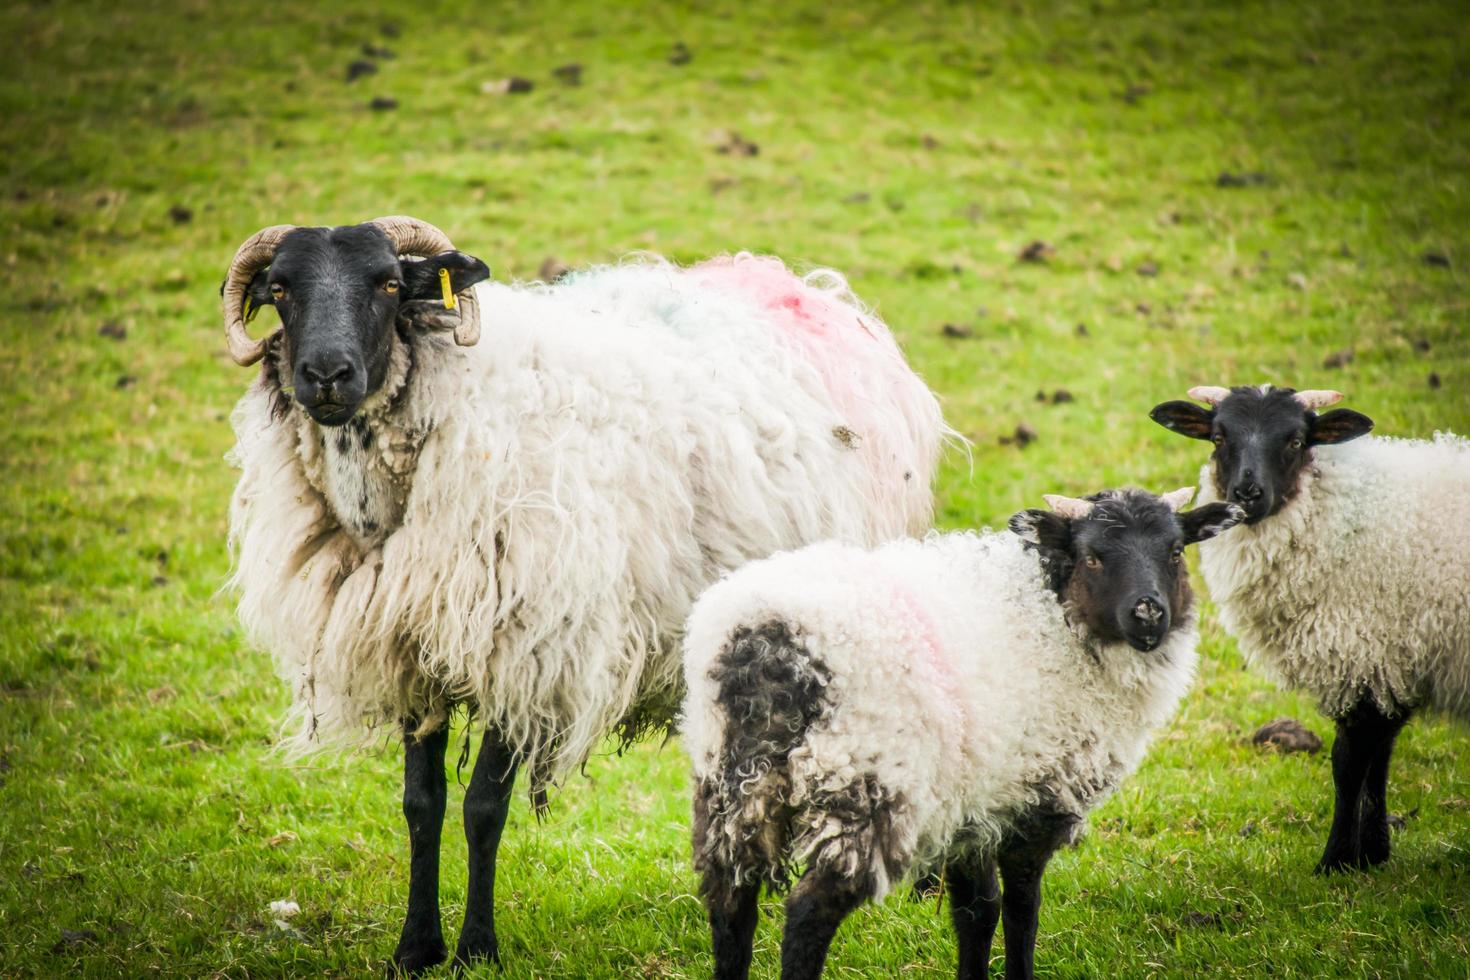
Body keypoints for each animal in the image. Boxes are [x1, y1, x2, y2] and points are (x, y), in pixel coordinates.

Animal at [219, 215, 952, 975]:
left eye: (389, 284)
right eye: (281, 289)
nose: (326, 375)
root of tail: (810, 291)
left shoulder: (525, 649)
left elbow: (483, 809)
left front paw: (476, 949)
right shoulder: (413, 653)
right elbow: (421, 805)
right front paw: (416, 947)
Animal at [682, 487, 1246, 975]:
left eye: (1175, 550)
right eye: (1093, 557)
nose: (1149, 613)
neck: (1054, 616)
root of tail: (765, 643)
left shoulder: (971, 810)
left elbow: (977, 912)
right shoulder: (1033, 799)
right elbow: (1021, 909)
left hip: (732, 788)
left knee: (730, 908)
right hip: (863, 784)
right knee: (806, 914)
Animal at [1146, 382, 1470, 875]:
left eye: (1296, 441)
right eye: (1219, 437)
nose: (1247, 493)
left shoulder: (1367, 651)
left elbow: (1349, 763)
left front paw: (1336, 862)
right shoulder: (1390, 664)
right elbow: (1379, 760)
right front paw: (1373, 854)